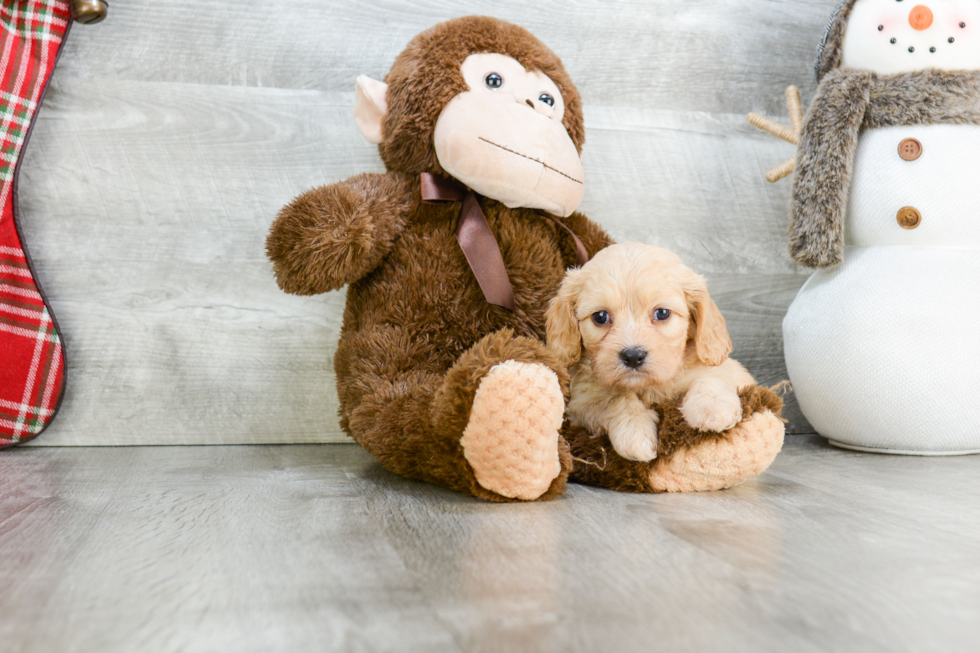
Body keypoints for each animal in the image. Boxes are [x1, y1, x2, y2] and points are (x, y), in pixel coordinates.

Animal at [548, 242, 756, 460]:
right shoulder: (581, 402)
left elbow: (711, 376)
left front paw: (713, 407)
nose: (633, 356)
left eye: (662, 313)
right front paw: (635, 433)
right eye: (600, 317)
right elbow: (616, 398)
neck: (648, 386)